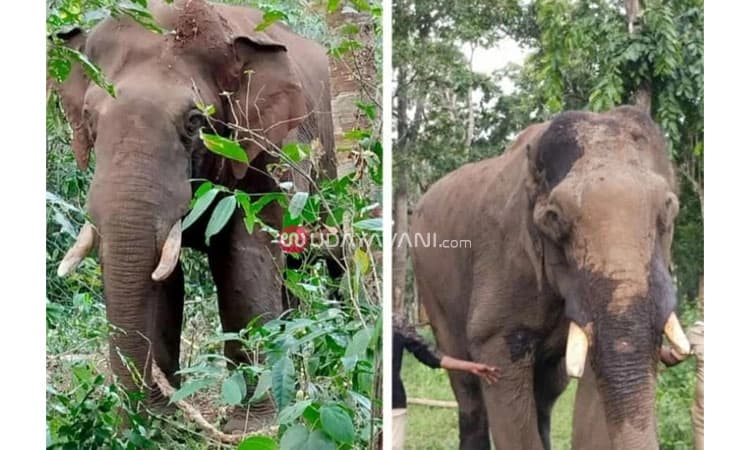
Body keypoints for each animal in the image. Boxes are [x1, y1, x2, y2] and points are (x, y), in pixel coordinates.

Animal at [49, 0, 336, 425]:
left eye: (194, 121)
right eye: (89, 118)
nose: (156, 404)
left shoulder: (267, 147)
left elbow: (246, 256)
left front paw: (254, 423)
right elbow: (164, 278)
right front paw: (161, 420)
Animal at [410, 106, 691, 450]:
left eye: (669, 209)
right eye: (554, 218)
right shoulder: (506, 258)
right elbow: (497, 357)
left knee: (546, 392)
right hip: (430, 285)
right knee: (467, 390)